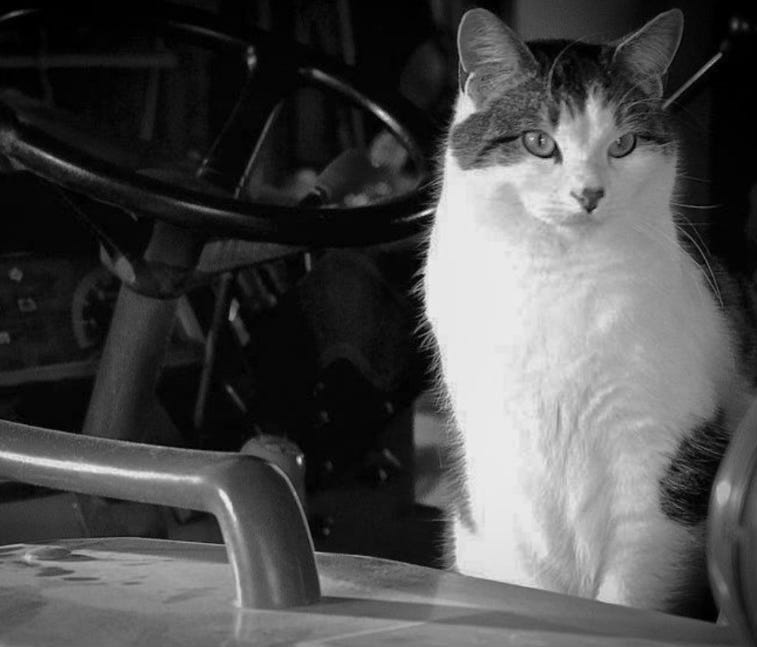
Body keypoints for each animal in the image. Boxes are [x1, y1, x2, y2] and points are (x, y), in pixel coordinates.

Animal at [422, 7, 756, 618]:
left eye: (622, 144)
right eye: (538, 142)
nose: (589, 194)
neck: (559, 277)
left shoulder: (656, 459)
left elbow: (632, 589)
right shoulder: (503, 456)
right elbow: (529, 575)